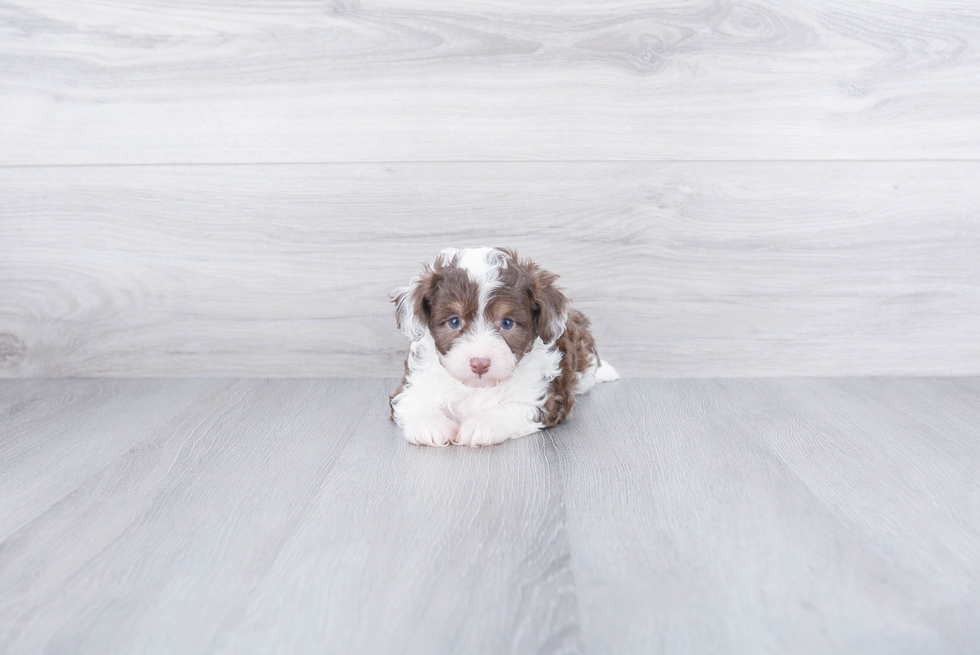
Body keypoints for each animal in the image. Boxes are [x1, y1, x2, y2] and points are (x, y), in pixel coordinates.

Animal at [386, 246, 616, 446]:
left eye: (507, 323)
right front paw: (429, 423)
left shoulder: (546, 396)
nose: (480, 364)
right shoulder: (411, 385)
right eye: (454, 321)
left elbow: (514, 406)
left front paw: (482, 423)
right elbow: (414, 400)